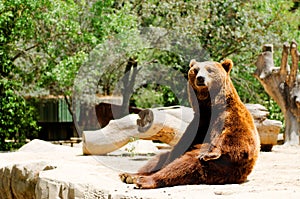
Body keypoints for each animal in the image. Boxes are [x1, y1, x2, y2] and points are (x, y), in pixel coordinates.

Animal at [118, 58, 258, 188]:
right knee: (159, 159)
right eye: (195, 70)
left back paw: (143, 180)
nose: (200, 78)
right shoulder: (198, 123)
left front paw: (210, 153)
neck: (209, 106)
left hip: (220, 168)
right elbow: (180, 146)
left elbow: (239, 140)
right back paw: (130, 175)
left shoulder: (230, 117)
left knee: (186, 164)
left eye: (210, 70)